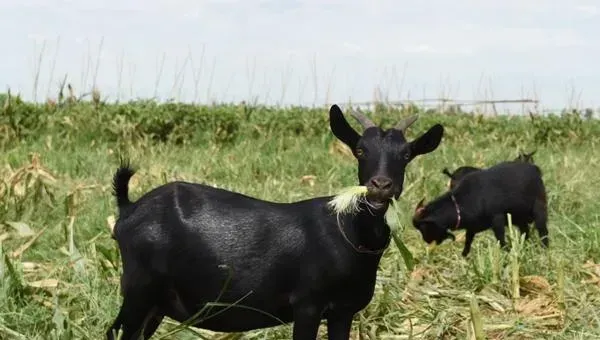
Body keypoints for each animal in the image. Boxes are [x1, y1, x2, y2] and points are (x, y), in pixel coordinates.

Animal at [108, 104, 446, 340]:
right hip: (139, 288)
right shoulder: (307, 304)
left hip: (156, 301)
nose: (380, 185)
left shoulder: (343, 309)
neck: (348, 234)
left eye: (406, 154)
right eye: (360, 150)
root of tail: (128, 208)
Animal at [412, 161, 548, 256]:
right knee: (526, 232)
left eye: (423, 227)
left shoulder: (497, 220)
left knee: (543, 231)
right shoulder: (472, 227)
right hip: (520, 218)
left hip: (539, 210)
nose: (426, 241)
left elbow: (500, 240)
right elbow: (468, 241)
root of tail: (535, 169)